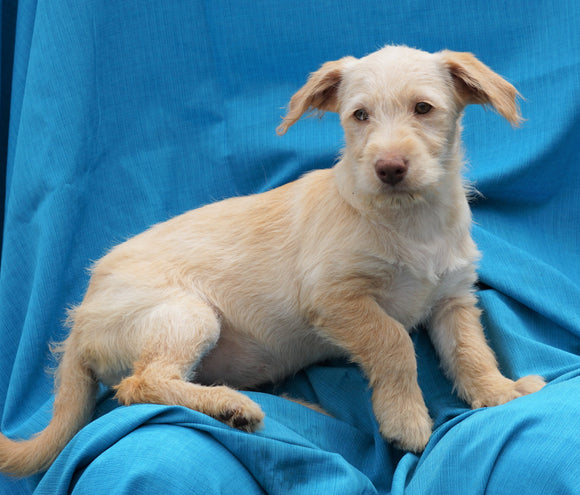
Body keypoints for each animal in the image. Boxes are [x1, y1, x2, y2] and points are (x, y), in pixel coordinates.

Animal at [0, 45, 548, 476]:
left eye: (423, 108)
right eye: (359, 116)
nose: (389, 168)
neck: (411, 220)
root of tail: (79, 322)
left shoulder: (453, 298)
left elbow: (470, 351)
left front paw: (497, 393)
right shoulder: (335, 298)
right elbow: (393, 343)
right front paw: (406, 418)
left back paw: (292, 407)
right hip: (186, 315)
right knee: (139, 384)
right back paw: (229, 407)